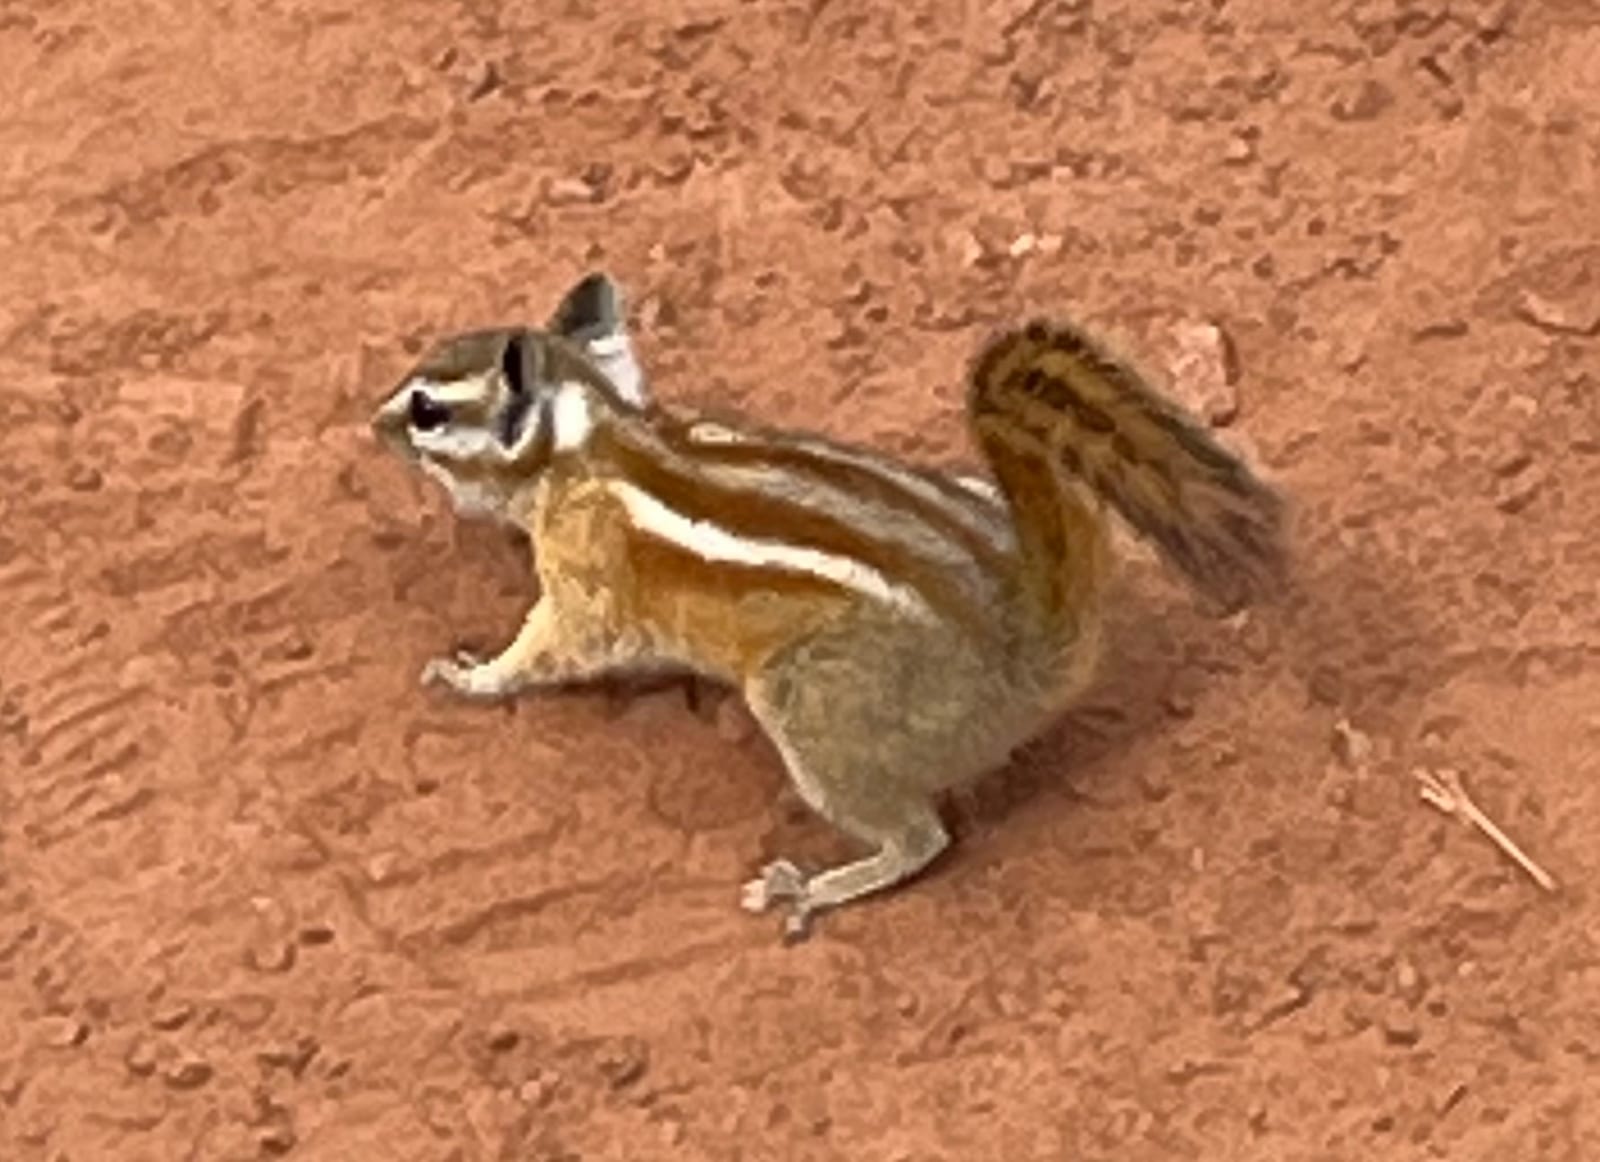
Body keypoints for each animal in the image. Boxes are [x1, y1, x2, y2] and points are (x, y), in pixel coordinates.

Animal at [370, 273, 1288, 940]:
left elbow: (550, 646)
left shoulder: (585, 582)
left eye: (427, 408)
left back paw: (813, 888)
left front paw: (470, 676)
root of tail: (1027, 647)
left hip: (809, 704)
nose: (371, 422)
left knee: (921, 839)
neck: (594, 438)